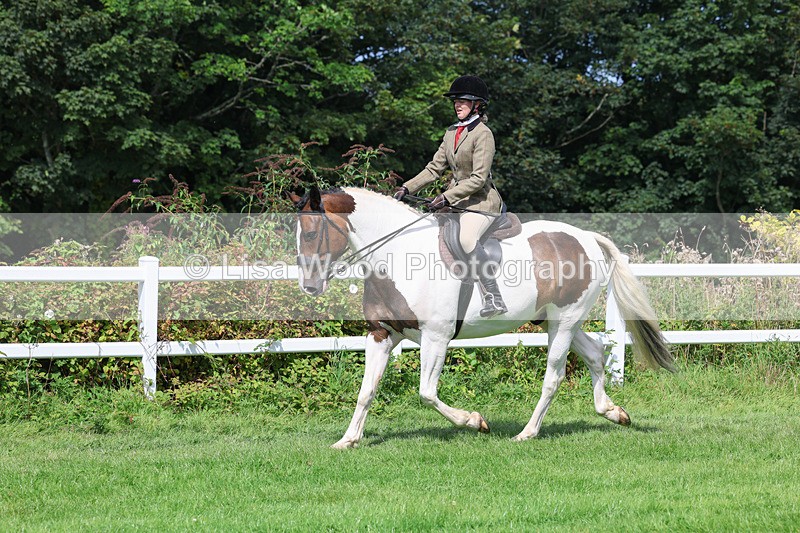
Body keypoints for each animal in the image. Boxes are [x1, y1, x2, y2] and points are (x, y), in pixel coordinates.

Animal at [289, 186, 675, 448]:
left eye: (312, 233)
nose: (309, 286)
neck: (397, 255)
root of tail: (587, 238)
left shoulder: (437, 336)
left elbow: (426, 392)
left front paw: (474, 421)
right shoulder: (381, 335)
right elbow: (367, 390)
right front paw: (348, 440)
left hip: (564, 322)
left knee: (554, 376)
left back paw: (527, 433)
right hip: (554, 320)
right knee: (595, 354)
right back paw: (612, 412)